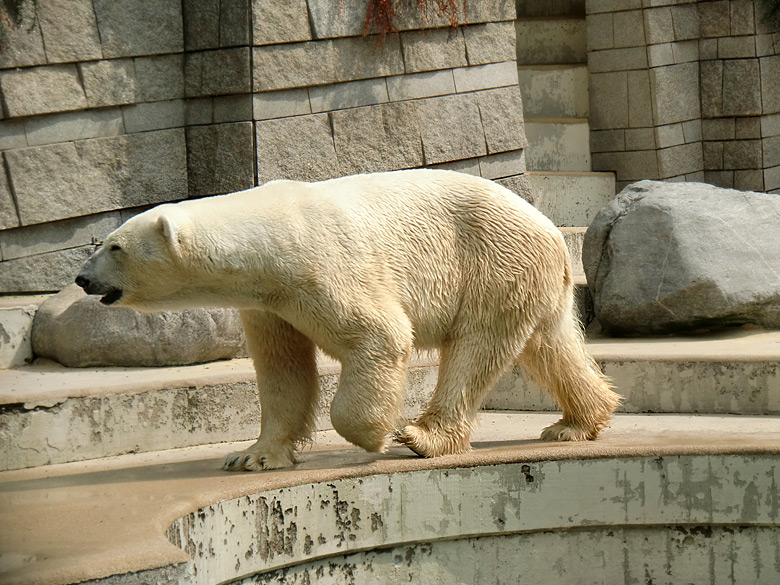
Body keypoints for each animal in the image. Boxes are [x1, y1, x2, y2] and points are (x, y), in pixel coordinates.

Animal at [76, 169, 620, 470]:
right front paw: (253, 455)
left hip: (492, 261)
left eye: (115, 247)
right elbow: (282, 370)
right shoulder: (268, 302)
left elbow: (380, 336)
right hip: (527, 279)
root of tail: (550, 228)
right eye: (99, 243)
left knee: (475, 350)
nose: (82, 279)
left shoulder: (322, 266)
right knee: (547, 345)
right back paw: (576, 423)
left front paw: (373, 435)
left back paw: (422, 438)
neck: (269, 238)